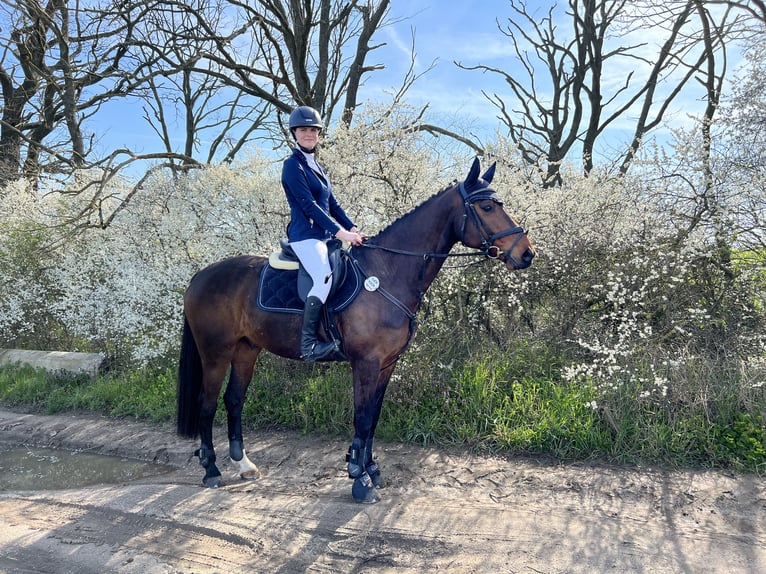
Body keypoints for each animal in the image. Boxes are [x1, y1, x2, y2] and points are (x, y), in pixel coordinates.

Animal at [178, 158, 540, 504]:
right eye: (488, 207)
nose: (527, 254)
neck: (388, 272)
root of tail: (200, 276)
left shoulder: (387, 364)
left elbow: (374, 417)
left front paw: (372, 470)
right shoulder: (365, 362)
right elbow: (362, 418)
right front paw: (359, 479)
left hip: (246, 349)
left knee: (234, 400)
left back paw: (244, 465)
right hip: (215, 353)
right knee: (207, 403)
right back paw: (211, 469)